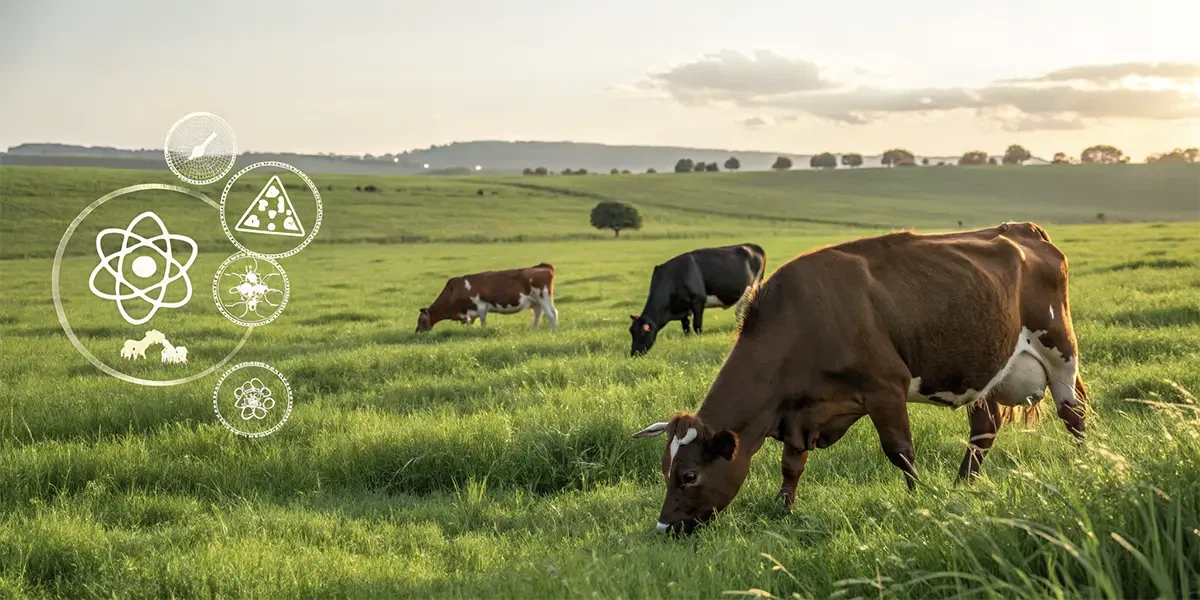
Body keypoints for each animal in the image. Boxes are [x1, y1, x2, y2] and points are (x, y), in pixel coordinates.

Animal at [416, 263, 558, 332]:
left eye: (422, 321)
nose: (417, 332)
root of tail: (542, 266)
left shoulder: (481, 306)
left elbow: (483, 322)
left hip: (543, 297)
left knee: (552, 313)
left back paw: (553, 331)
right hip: (536, 302)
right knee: (538, 315)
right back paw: (532, 330)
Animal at [629, 244, 766, 356]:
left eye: (643, 332)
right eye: (631, 332)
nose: (634, 353)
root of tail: (754, 246)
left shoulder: (698, 301)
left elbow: (697, 326)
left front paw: (699, 341)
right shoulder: (683, 310)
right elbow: (686, 328)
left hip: (753, 287)